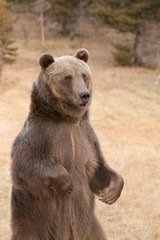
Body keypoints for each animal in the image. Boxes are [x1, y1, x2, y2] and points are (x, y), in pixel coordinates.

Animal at [10, 48, 124, 240]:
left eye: (84, 75)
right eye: (67, 77)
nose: (85, 95)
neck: (67, 120)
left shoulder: (87, 137)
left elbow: (97, 168)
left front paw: (112, 191)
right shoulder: (40, 134)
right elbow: (24, 166)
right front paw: (66, 183)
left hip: (88, 225)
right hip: (32, 220)